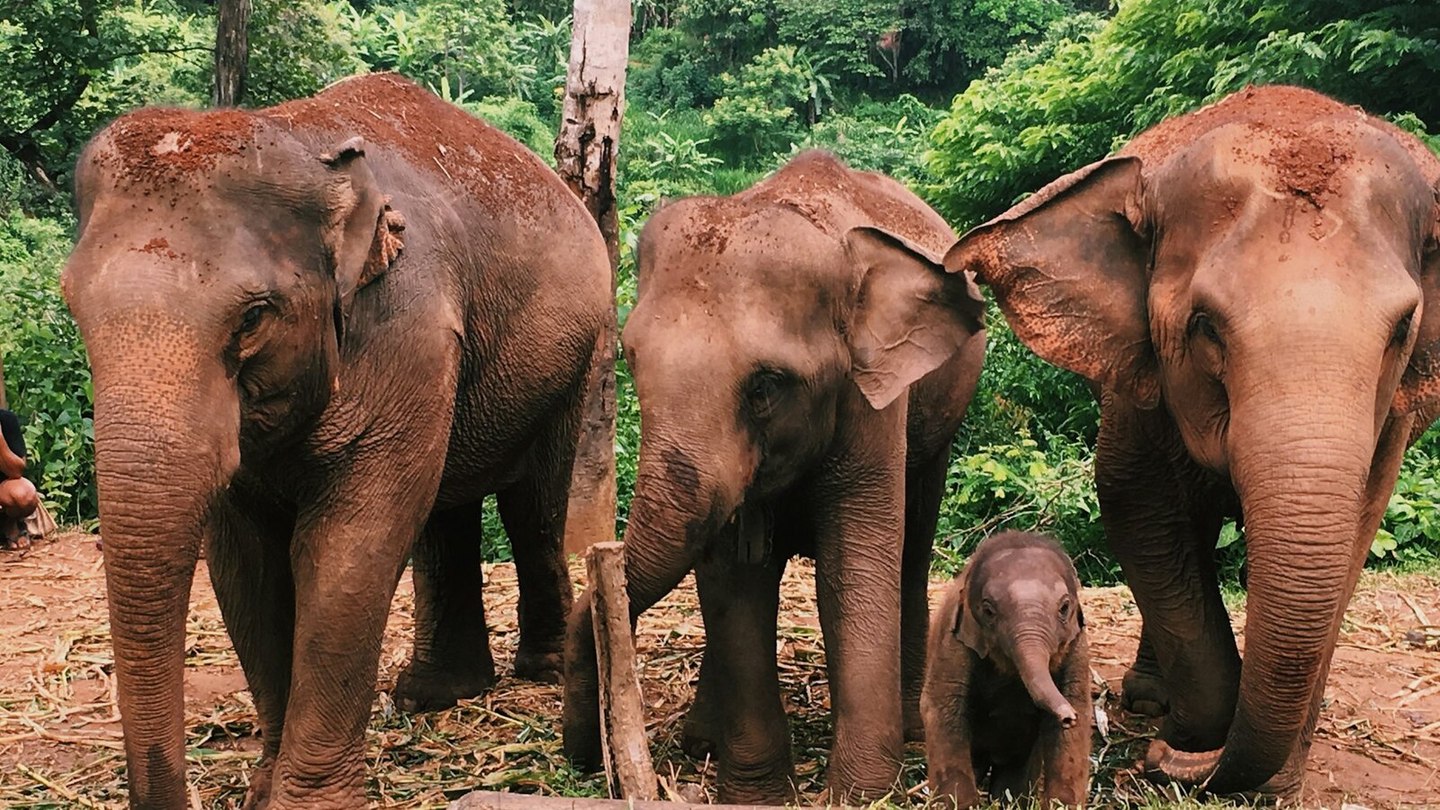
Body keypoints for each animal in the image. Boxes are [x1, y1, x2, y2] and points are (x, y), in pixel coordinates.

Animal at [61, 73, 610, 809]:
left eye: (254, 318)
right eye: (72, 305)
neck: (301, 144)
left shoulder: (406, 326)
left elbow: (349, 545)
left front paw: (306, 801)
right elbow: (246, 562)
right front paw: (264, 790)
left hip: (576, 357)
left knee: (532, 502)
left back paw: (539, 671)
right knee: (446, 508)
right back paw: (432, 696)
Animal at [562, 151, 988, 803]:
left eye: (765, 386)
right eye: (631, 359)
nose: (583, 758)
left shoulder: (872, 402)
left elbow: (854, 569)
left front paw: (859, 797)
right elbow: (734, 579)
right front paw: (760, 797)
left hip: (940, 419)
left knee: (913, 549)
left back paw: (914, 728)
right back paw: (701, 742)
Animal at [921, 531, 1091, 809]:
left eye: (1065, 608)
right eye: (988, 610)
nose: (1067, 716)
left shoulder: (1078, 647)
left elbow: (1078, 715)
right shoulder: (952, 642)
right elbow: (943, 709)